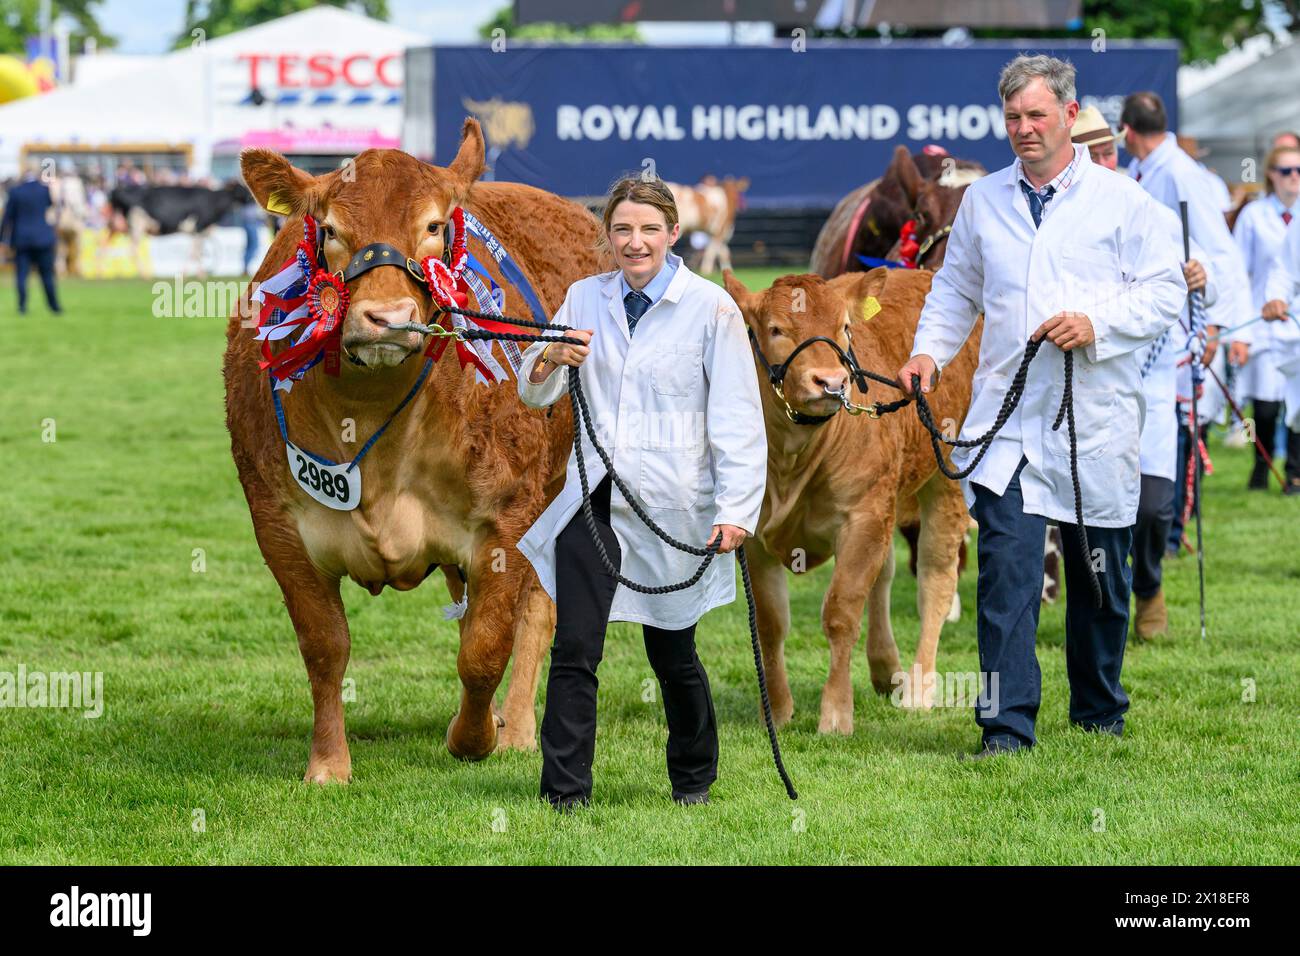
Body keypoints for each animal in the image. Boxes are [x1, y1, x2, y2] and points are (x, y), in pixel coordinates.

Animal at [224, 119, 605, 783]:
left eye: (432, 225)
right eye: (329, 230)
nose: (386, 318)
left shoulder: (507, 516)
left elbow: (485, 648)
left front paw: (472, 737)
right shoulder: (278, 525)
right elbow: (324, 647)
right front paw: (328, 765)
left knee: (536, 612)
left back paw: (515, 728)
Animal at [723, 266, 979, 727]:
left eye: (844, 328)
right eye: (775, 329)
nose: (831, 382)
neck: (792, 458)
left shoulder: (862, 516)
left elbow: (841, 613)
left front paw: (836, 713)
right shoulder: (752, 536)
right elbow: (770, 622)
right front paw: (780, 710)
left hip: (947, 479)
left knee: (935, 577)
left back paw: (920, 688)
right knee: (886, 576)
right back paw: (885, 668)